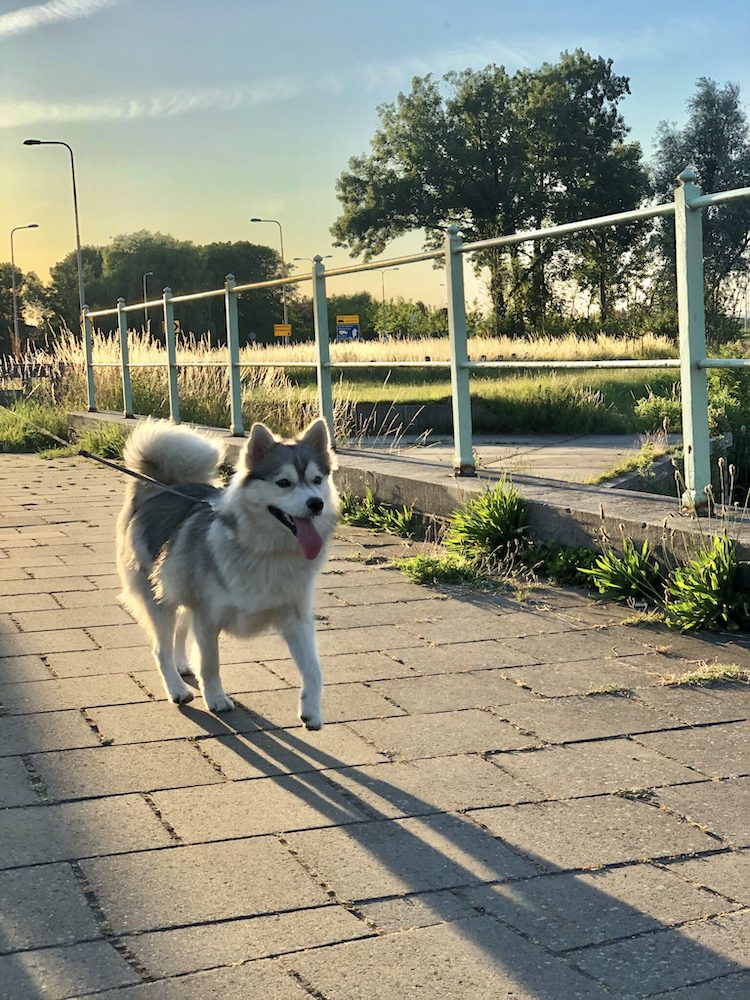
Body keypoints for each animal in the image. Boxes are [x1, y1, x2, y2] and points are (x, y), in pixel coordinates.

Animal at [116, 414, 340, 728]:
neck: (265, 551)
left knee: (180, 631)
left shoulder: (296, 618)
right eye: (284, 483)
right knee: (161, 648)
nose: (316, 503)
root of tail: (158, 488)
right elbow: (210, 663)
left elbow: (314, 668)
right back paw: (176, 688)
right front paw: (215, 698)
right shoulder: (208, 616)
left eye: (317, 480)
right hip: (158, 599)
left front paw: (312, 710)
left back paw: (181, 663)